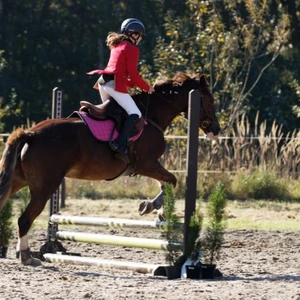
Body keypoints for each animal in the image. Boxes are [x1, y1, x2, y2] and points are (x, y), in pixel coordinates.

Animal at [0, 71, 220, 266]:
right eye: (210, 101)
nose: (216, 130)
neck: (152, 114)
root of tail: (31, 134)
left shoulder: (149, 165)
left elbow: (165, 181)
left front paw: (154, 208)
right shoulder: (146, 164)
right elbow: (172, 180)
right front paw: (153, 207)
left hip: (19, 180)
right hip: (45, 187)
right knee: (25, 219)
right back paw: (27, 257)